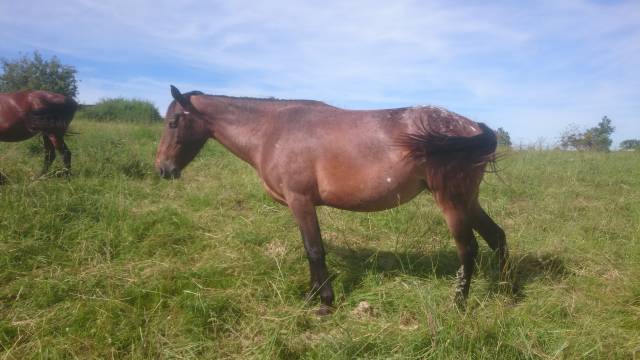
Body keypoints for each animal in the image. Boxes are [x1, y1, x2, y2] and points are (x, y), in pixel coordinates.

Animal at [158, 86, 508, 314]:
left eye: (173, 122)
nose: (163, 168)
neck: (272, 130)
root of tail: (471, 125)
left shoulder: (300, 200)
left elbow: (314, 250)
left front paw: (324, 302)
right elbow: (310, 250)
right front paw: (313, 296)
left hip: (451, 201)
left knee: (468, 249)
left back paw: (458, 305)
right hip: (469, 200)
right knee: (497, 237)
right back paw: (507, 291)